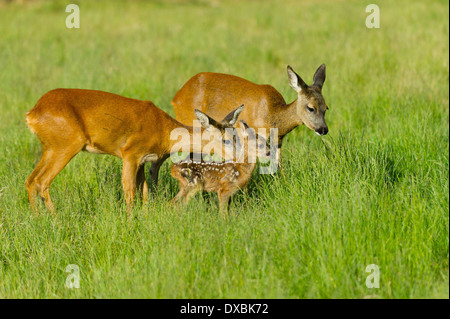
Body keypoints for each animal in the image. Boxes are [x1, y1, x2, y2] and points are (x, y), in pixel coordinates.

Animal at [24, 89, 243, 216]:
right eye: (225, 139)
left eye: (236, 136)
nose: (240, 158)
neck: (164, 130)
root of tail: (32, 113)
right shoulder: (130, 154)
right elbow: (129, 191)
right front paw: (129, 222)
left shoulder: (143, 161)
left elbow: (144, 191)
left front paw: (144, 217)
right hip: (66, 146)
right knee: (42, 181)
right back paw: (55, 220)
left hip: (50, 148)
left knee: (31, 180)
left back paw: (38, 218)